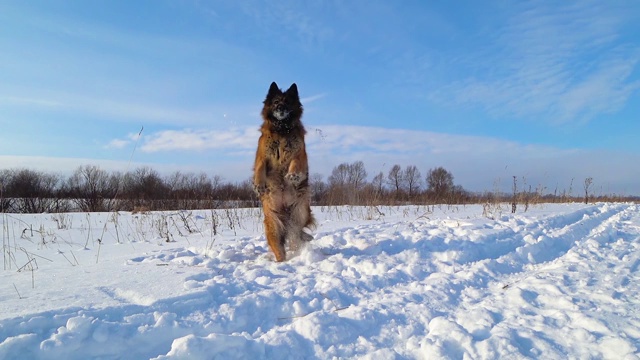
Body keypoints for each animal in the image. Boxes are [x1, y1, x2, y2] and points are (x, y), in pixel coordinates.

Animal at [254, 81, 316, 262]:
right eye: (276, 102)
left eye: (287, 102)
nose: (281, 107)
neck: (282, 130)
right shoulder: (261, 156)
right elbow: (259, 169)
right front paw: (258, 185)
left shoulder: (300, 154)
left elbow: (295, 163)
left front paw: (293, 176)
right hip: (273, 225)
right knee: (280, 248)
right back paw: (281, 261)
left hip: (300, 211)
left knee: (298, 232)